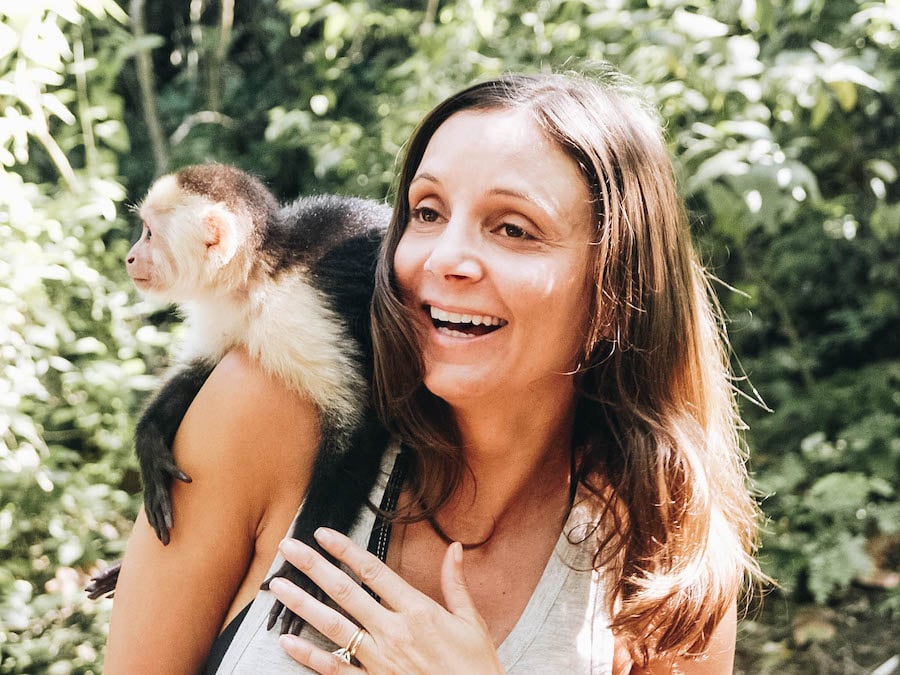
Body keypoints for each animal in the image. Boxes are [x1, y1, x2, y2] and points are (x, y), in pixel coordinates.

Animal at [87, 164, 390, 632]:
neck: (259, 276)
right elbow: (206, 367)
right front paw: (150, 445)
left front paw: (303, 568)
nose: (130, 258)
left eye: (150, 234)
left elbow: (361, 420)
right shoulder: (226, 310)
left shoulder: (300, 311)